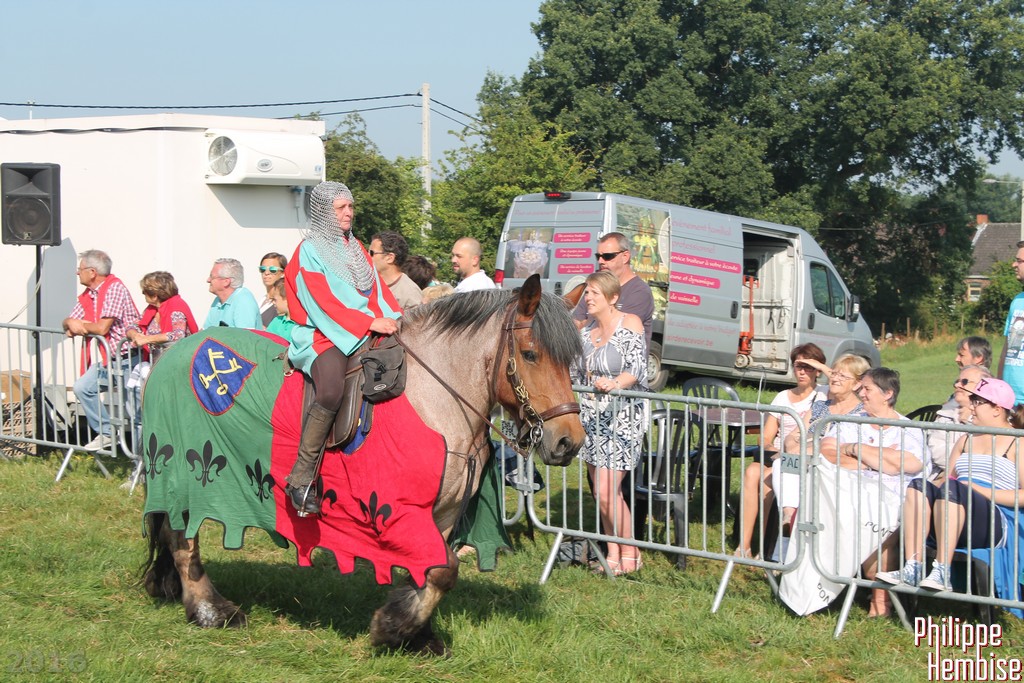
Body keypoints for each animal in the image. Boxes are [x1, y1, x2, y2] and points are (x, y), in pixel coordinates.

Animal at [141, 274, 585, 655]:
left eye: (570, 362)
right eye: (530, 354)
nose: (569, 442)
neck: (435, 400)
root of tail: (170, 354)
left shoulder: (441, 514)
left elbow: (433, 571)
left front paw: (417, 635)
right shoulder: (400, 510)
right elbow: (444, 569)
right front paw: (393, 628)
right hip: (182, 474)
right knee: (181, 538)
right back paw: (210, 610)